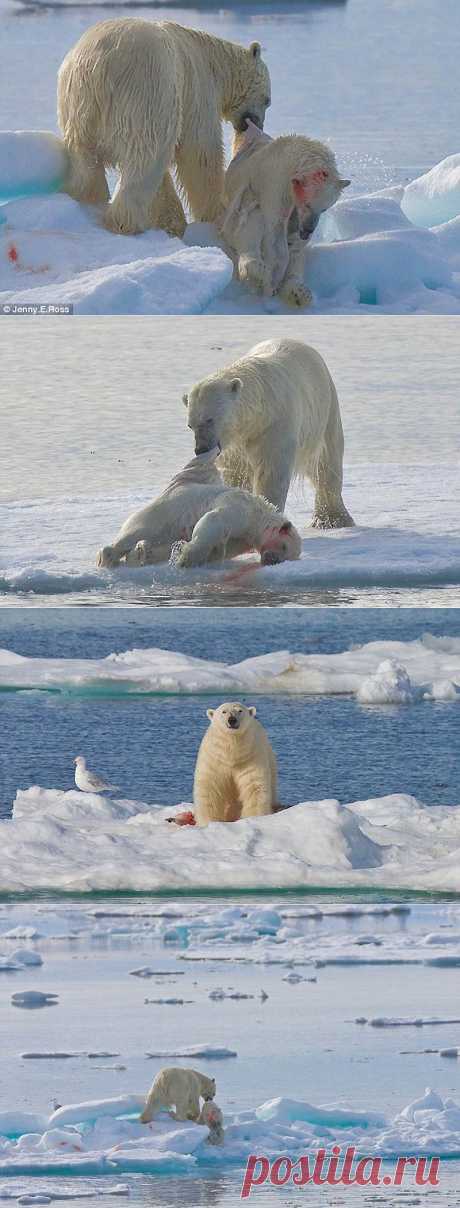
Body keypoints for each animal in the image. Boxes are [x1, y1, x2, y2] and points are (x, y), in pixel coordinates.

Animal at [58, 18, 270, 234]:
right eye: (267, 100)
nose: (256, 125)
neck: (215, 61)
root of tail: (99, 65)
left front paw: (172, 222)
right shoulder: (198, 89)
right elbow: (200, 152)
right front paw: (216, 213)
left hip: (77, 104)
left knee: (85, 160)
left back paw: (87, 201)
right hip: (145, 91)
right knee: (144, 158)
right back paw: (126, 221)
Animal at [94, 449, 299, 570]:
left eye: (288, 556)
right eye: (284, 546)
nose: (271, 560)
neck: (259, 516)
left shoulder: (244, 539)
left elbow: (223, 547)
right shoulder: (240, 509)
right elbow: (214, 521)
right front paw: (185, 558)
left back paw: (142, 553)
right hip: (159, 515)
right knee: (135, 533)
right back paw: (109, 559)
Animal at [183, 340, 354, 529]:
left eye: (210, 419)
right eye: (190, 425)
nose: (201, 448)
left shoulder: (275, 424)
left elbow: (271, 472)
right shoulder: (236, 444)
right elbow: (236, 473)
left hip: (325, 410)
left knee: (327, 463)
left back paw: (333, 519)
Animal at [220, 120, 347, 306]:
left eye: (324, 208)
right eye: (307, 204)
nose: (308, 230)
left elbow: (295, 245)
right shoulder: (274, 184)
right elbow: (274, 232)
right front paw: (270, 284)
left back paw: (299, 293)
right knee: (249, 227)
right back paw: (258, 272)